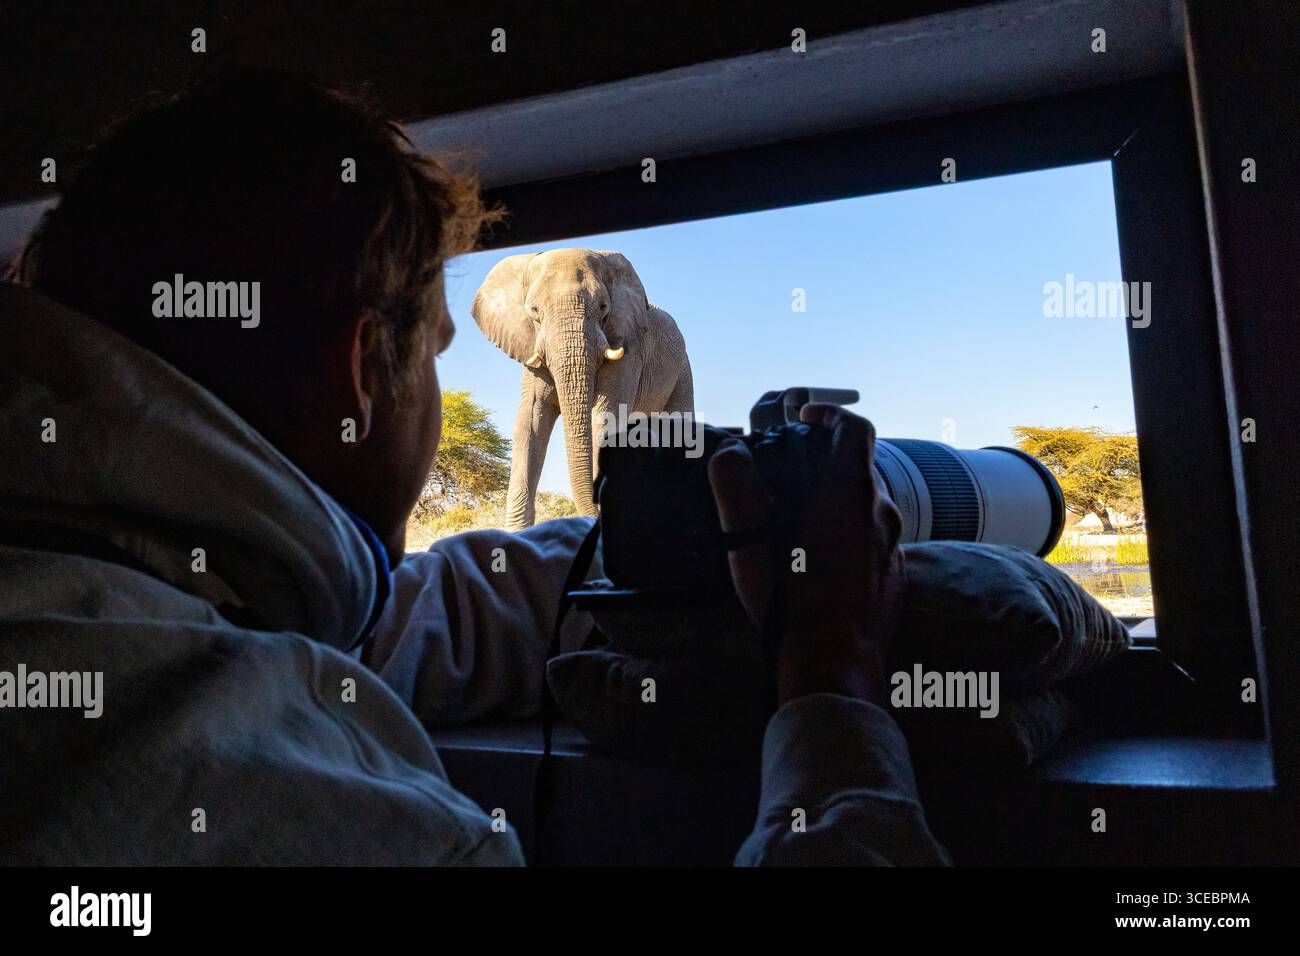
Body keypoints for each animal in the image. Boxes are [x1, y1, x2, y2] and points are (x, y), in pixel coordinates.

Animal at [471, 248, 694, 530]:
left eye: (603, 307)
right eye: (534, 310)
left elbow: (604, 418)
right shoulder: (531, 350)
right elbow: (530, 421)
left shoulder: (627, 348)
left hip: (682, 371)